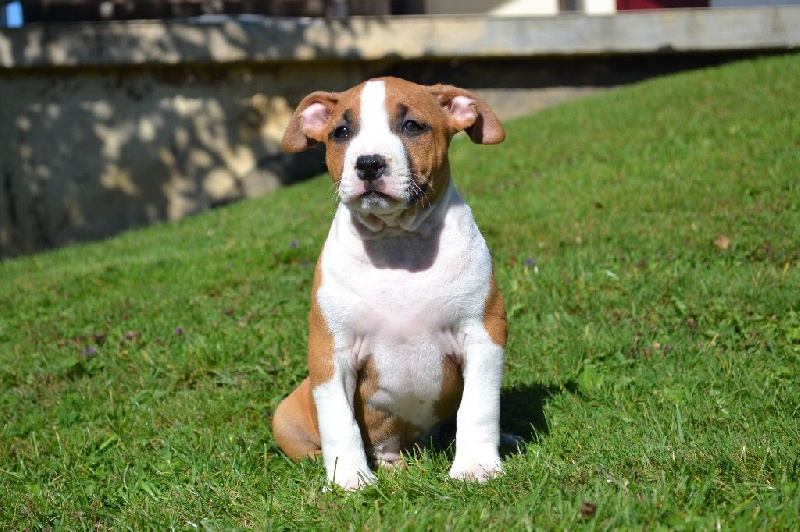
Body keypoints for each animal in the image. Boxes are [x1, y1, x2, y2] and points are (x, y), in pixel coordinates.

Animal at [272, 77, 507, 490]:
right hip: (284, 415)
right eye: (341, 132)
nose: (368, 163)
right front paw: (348, 480)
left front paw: (476, 467)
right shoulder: (329, 352)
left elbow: (479, 406)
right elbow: (339, 421)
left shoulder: (484, 332)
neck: (397, 241)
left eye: (412, 126)